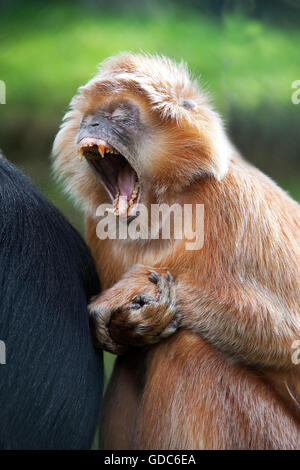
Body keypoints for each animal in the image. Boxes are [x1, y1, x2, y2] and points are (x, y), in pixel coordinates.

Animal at [54, 53, 300, 450]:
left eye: (120, 115)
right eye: (91, 117)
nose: (91, 124)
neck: (162, 210)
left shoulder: (231, 198)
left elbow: (290, 337)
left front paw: (131, 291)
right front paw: (128, 323)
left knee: (187, 347)